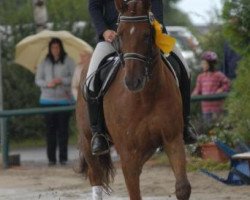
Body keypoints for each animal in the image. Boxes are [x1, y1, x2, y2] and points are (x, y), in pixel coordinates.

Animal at [75, 0, 190, 200]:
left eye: (146, 35)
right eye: (119, 34)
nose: (132, 81)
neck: (146, 97)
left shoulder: (173, 139)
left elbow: (183, 188)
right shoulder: (128, 154)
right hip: (88, 140)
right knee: (95, 176)